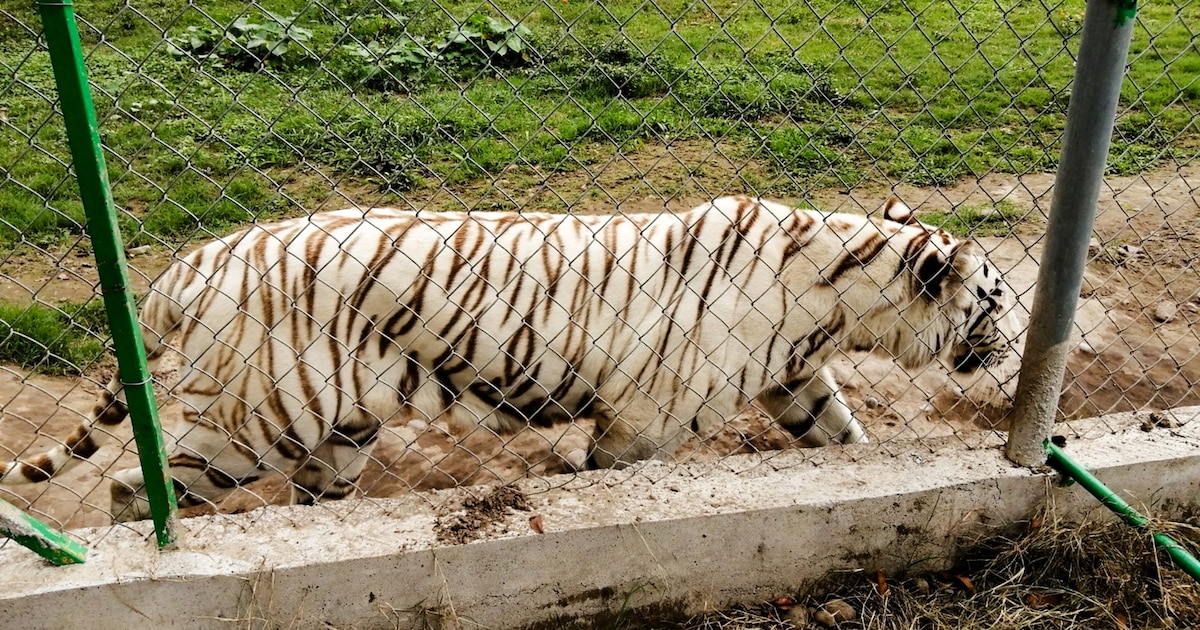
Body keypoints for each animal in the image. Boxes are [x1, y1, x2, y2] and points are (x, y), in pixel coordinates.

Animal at [0, 196, 1017, 521]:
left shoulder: (794, 377)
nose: (1015, 346)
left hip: (340, 430)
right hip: (258, 419)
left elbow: (841, 439)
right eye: (1000, 300)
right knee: (135, 488)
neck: (839, 299)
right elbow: (609, 477)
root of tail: (194, 260)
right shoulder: (645, 420)